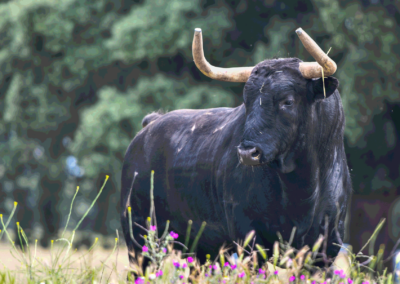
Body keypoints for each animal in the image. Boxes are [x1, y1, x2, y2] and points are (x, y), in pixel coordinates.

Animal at [120, 57, 352, 266]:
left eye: (288, 101)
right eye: (246, 101)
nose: (248, 153)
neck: (301, 190)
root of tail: (151, 124)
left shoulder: (326, 250)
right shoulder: (249, 240)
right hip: (139, 240)